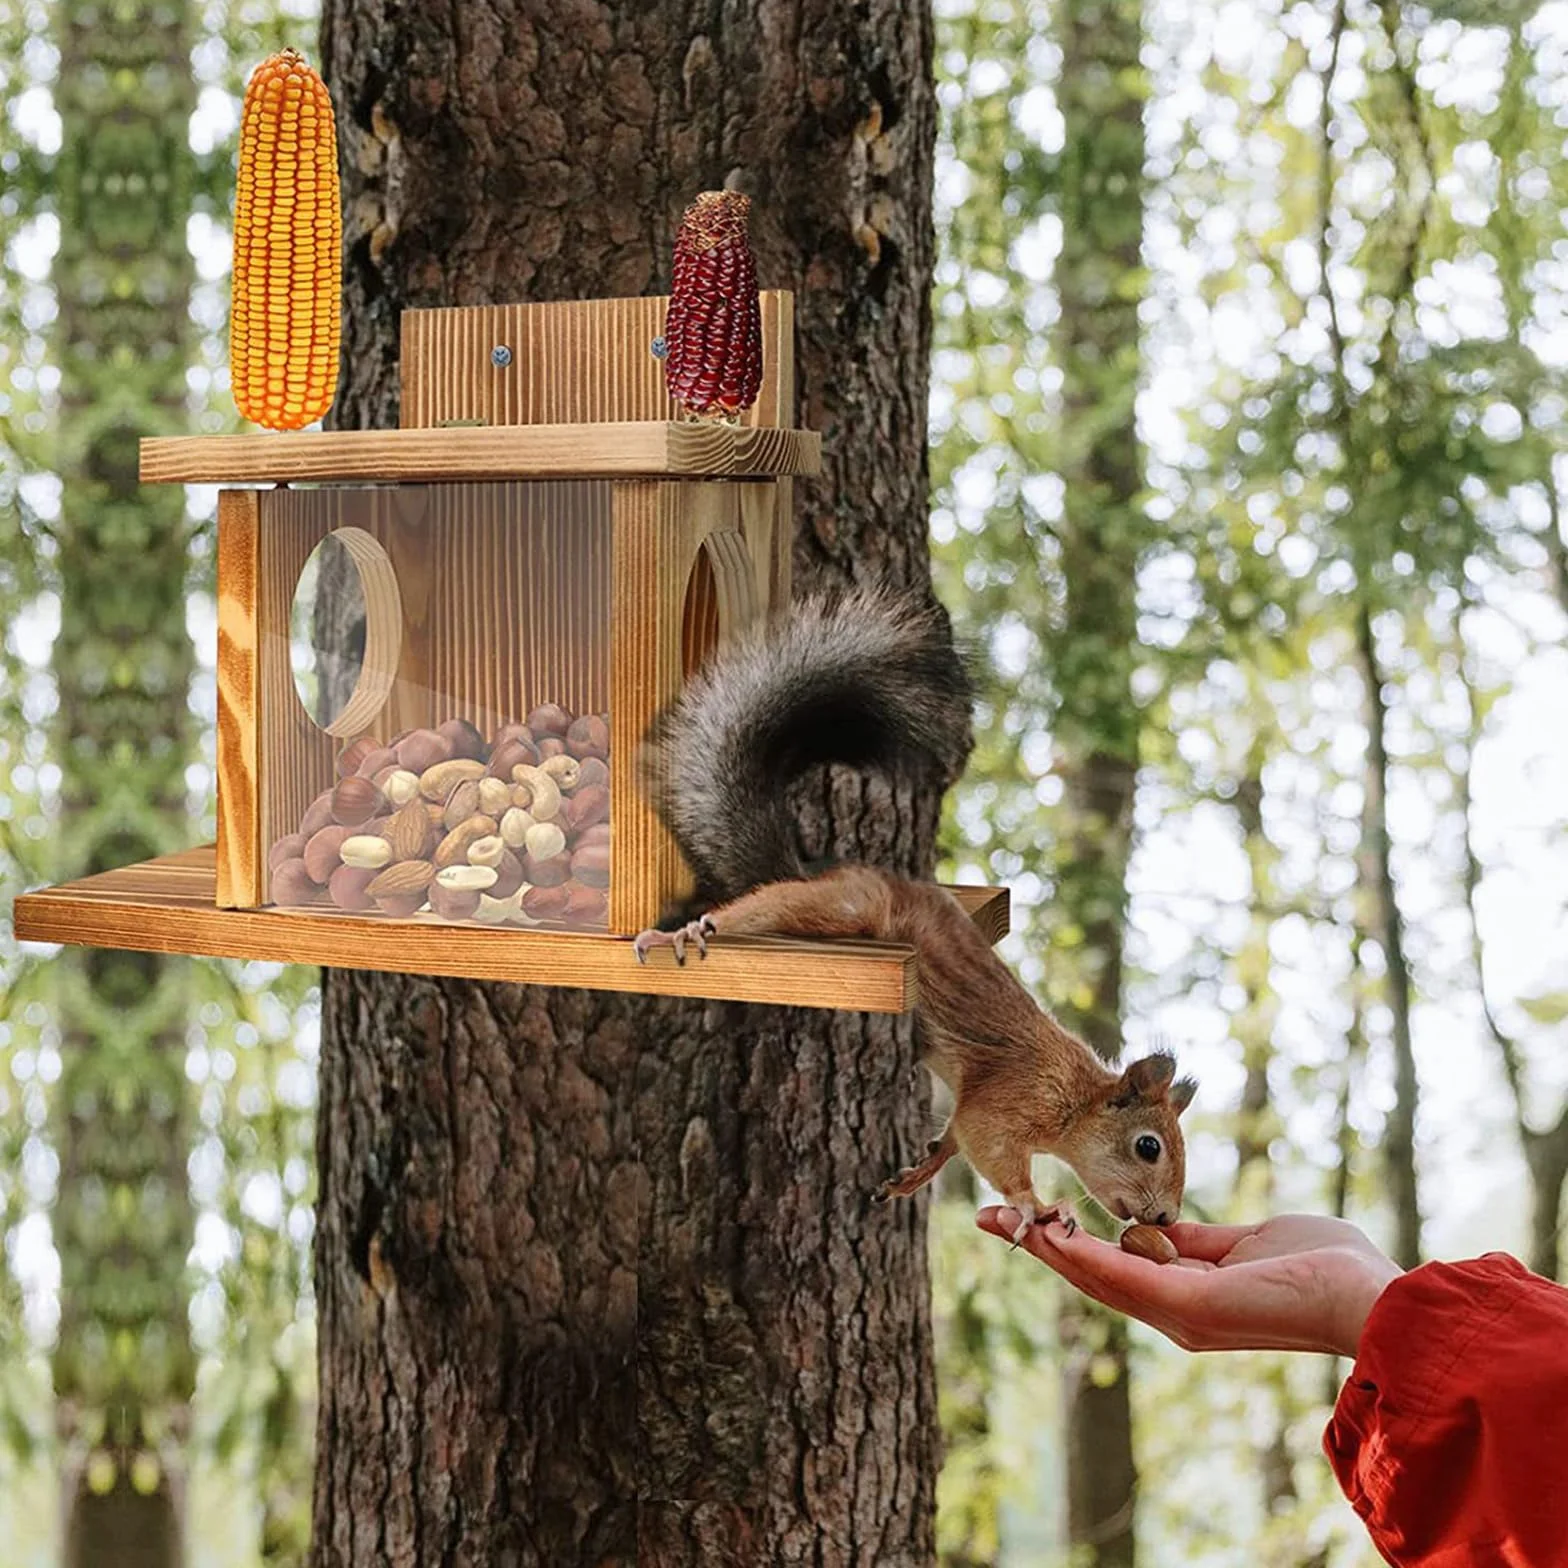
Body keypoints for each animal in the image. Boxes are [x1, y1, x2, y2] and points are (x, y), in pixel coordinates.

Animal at [632, 587, 1196, 1243]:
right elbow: (987, 1142)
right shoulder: (1012, 1098)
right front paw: (1037, 1205)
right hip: (848, 907)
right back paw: (685, 931)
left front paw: (918, 1172)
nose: (1167, 1216)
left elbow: (955, 1135)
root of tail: (823, 871)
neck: (1076, 1097)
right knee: (763, 906)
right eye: (1149, 1146)